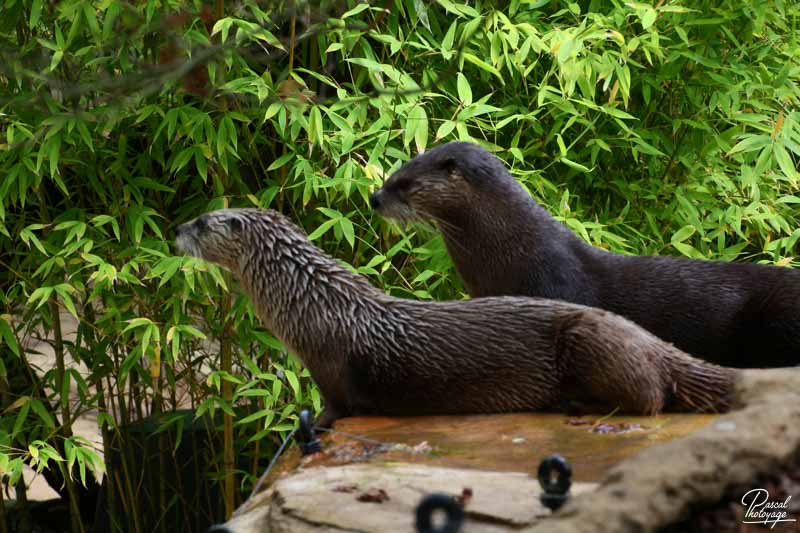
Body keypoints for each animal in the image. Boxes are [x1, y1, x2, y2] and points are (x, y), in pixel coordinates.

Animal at [177, 206, 736, 426]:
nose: (175, 229)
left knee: (650, 398)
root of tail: (650, 340)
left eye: (202, 222)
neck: (313, 302)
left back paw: (574, 404)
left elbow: (336, 405)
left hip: (591, 340)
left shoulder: (329, 364)